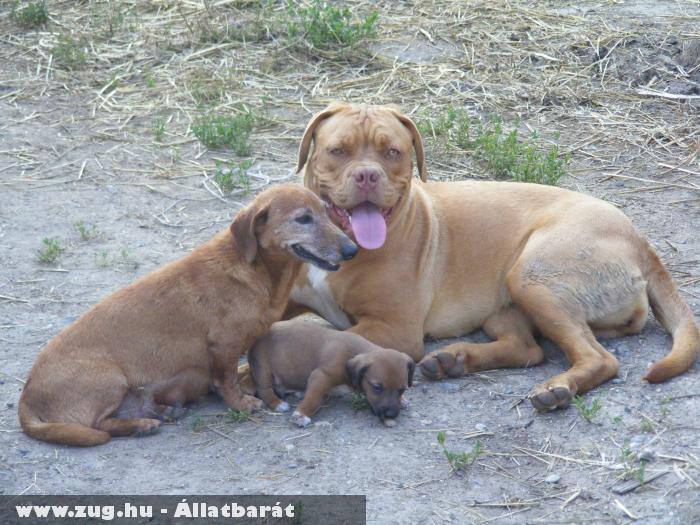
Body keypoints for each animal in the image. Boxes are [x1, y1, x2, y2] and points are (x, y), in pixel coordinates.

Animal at [19, 185, 358, 446]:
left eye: (327, 213)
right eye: (303, 219)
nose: (352, 250)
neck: (254, 271)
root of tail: (27, 396)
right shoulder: (223, 344)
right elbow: (227, 380)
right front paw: (243, 403)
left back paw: (156, 416)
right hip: (111, 380)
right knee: (99, 426)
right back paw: (142, 425)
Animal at [246, 320, 412, 426]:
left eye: (402, 389)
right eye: (377, 387)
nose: (391, 414)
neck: (352, 352)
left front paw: (403, 400)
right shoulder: (321, 376)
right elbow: (313, 398)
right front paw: (302, 414)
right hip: (264, 369)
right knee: (264, 390)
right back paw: (277, 403)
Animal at [288, 102, 696, 412]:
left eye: (393, 153)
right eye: (338, 151)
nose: (367, 176)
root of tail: (639, 239)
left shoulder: (394, 328)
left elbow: (333, 339)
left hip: (534, 279)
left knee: (598, 358)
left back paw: (557, 389)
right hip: (508, 305)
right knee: (528, 349)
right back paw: (454, 361)